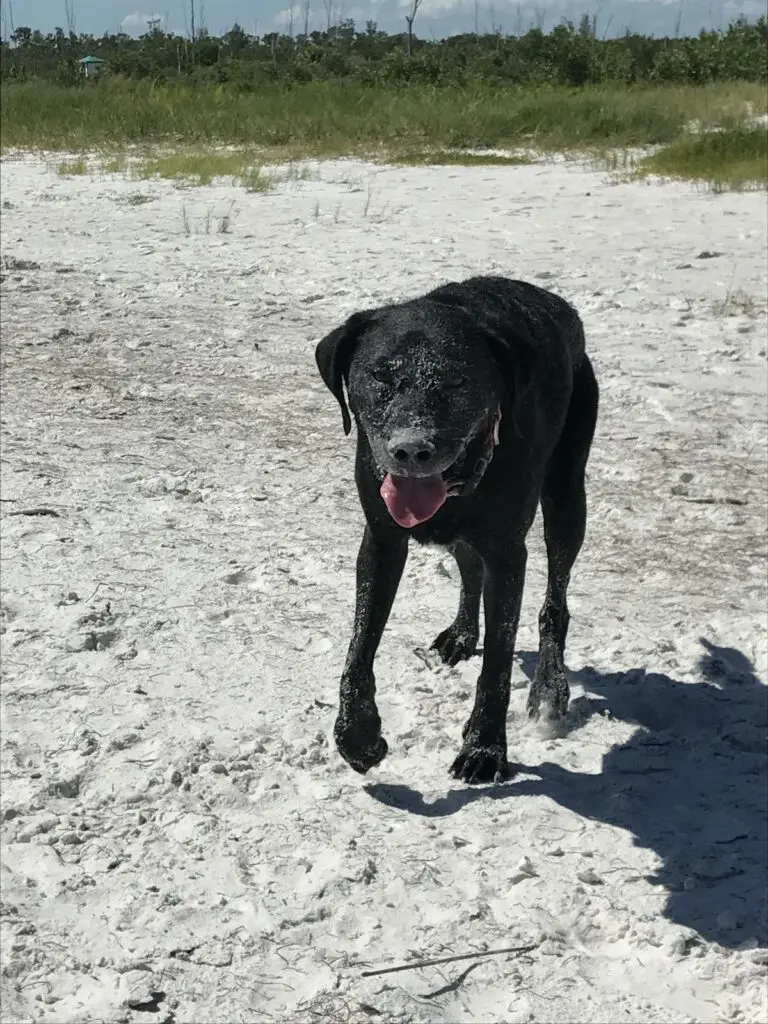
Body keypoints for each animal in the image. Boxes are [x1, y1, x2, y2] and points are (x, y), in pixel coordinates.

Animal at [313, 276, 602, 778]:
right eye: (380, 376)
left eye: (458, 379)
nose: (412, 449)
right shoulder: (382, 539)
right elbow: (361, 643)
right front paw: (358, 734)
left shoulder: (509, 552)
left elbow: (498, 663)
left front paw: (485, 747)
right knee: (468, 563)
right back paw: (464, 634)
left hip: (567, 494)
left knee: (555, 601)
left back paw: (550, 689)